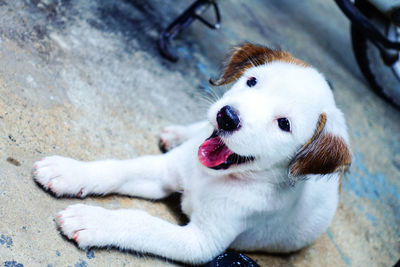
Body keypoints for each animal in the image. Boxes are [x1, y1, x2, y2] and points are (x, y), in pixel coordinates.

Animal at [34, 44, 354, 266]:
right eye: (252, 81)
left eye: (284, 124)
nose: (227, 117)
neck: (210, 177)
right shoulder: (164, 172)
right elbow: (118, 169)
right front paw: (68, 172)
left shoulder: (200, 243)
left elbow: (142, 223)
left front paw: (92, 220)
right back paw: (177, 134)